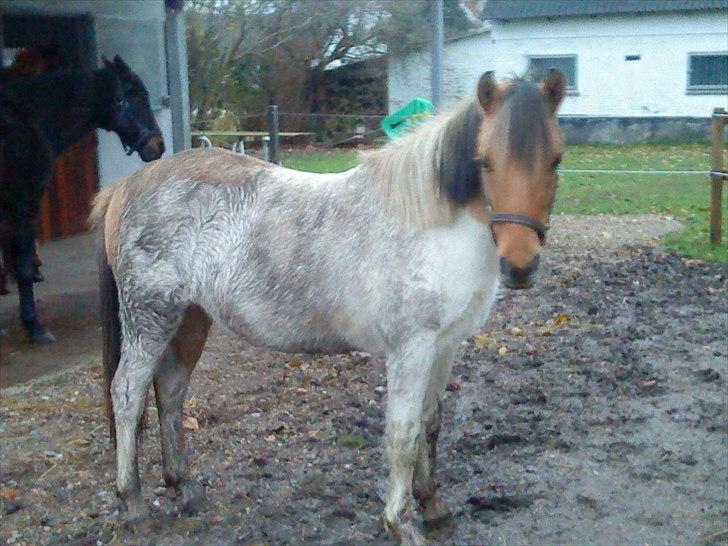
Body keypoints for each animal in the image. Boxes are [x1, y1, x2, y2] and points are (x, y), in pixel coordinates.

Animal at [0, 55, 165, 340]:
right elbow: (22, 264)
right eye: (134, 95)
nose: (158, 146)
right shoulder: (24, 202)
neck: (27, 122)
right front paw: (34, 326)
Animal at [89, 70, 568, 540]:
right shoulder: (410, 348)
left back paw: (184, 488)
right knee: (128, 395)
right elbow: (403, 434)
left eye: (556, 160)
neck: (430, 221)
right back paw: (132, 503)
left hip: (191, 318)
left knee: (170, 390)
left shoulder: (444, 346)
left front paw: (433, 504)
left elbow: (431, 424)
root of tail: (125, 187)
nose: (520, 265)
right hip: (150, 319)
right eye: (484, 161)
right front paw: (402, 522)